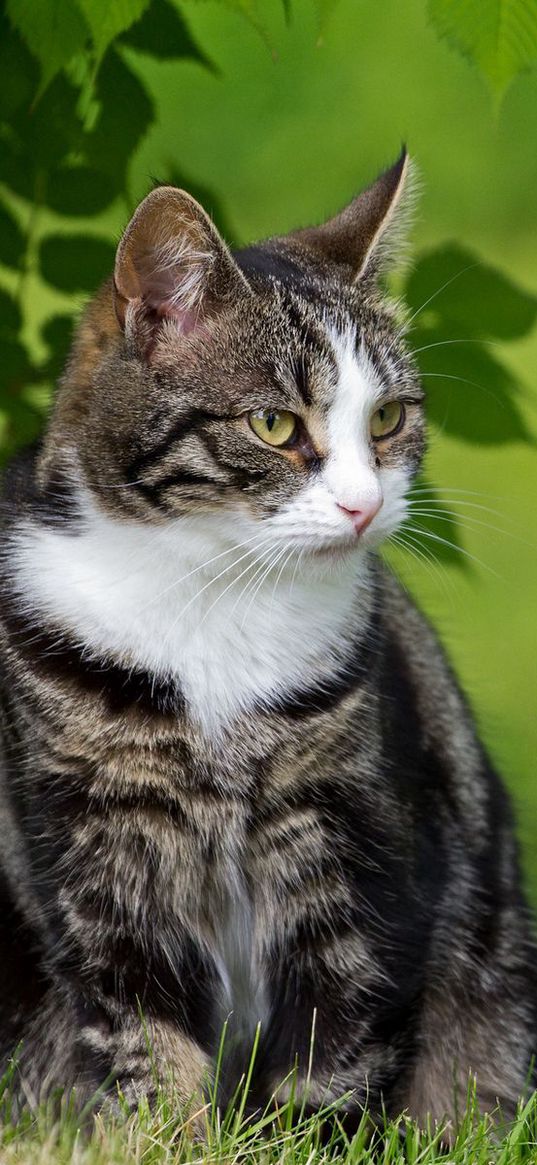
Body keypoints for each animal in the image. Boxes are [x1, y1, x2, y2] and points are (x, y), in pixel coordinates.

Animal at [1, 150, 535, 1132]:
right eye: (274, 424)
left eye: (387, 419)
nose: (365, 504)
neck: (213, 597)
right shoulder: (100, 850)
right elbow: (141, 1032)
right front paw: (166, 1136)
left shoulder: (355, 839)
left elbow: (337, 1042)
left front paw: (302, 1134)